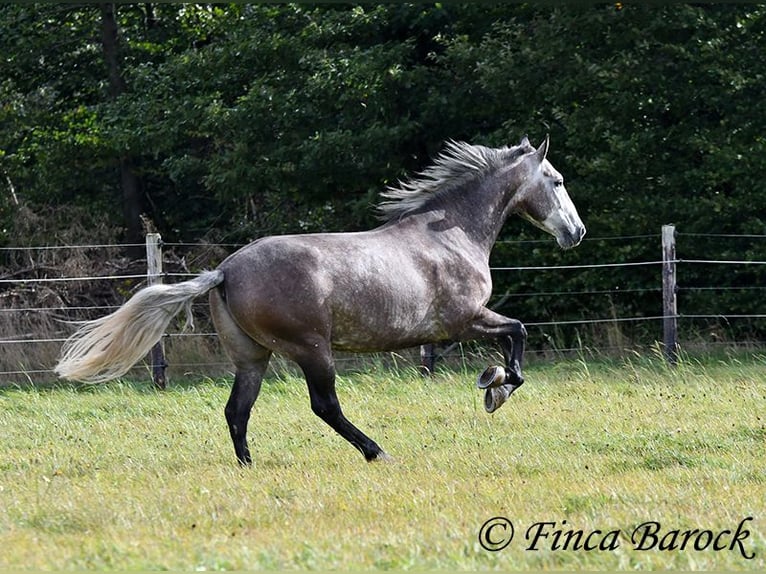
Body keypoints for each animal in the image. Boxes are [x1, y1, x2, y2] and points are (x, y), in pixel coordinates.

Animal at [55, 136, 588, 468]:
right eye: (557, 180)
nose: (577, 232)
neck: (450, 234)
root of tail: (226, 270)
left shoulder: (461, 327)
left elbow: (510, 339)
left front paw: (492, 383)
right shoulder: (464, 321)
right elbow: (518, 334)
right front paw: (496, 388)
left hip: (252, 357)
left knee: (236, 410)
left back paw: (249, 467)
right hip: (313, 349)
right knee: (324, 405)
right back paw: (376, 452)